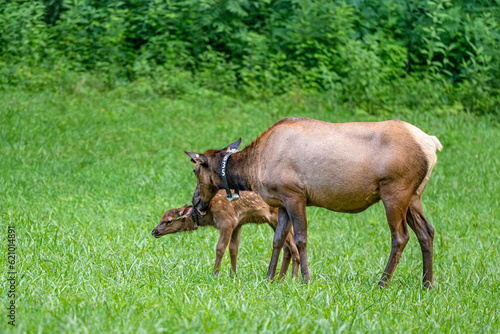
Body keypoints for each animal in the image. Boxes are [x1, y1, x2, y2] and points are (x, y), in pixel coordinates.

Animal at [152, 189, 298, 278]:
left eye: (169, 221)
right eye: (161, 218)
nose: (154, 231)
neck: (209, 215)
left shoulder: (227, 221)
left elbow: (220, 248)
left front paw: (215, 274)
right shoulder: (237, 223)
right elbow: (233, 249)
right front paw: (233, 275)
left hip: (275, 217)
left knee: (292, 246)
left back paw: (292, 278)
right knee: (287, 247)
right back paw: (282, 278)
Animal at [184, 117, 442, 288]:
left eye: (196, 170)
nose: (196, 201)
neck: (253, 169)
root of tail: (432, 144)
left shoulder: (294, 194)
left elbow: (300, 239)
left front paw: (306, 280)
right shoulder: (282, 202)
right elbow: (278, 240)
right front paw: (269, 277)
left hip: (395, 191)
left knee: (400, 236)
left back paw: (382, 282)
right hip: (414, 196)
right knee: (427, 231)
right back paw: (427, 283)